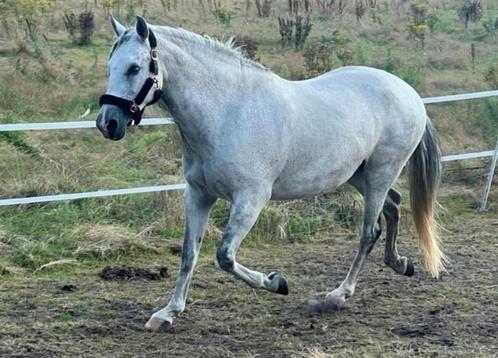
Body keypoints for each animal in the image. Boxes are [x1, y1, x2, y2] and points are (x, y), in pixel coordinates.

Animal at [95, 15, 446, 332]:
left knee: (369, 232)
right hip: (360, 175)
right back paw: (400, 264)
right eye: (110, 66)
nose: (107, 123)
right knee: (393, 206)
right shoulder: (198, 195)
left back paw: (335, 296)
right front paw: (167, 313)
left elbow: (225, 256)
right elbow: (188, 254)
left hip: (379, 173)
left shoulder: (250, 199)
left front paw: (277, 282)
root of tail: (409, 92)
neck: (225, 113)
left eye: (134, 68)